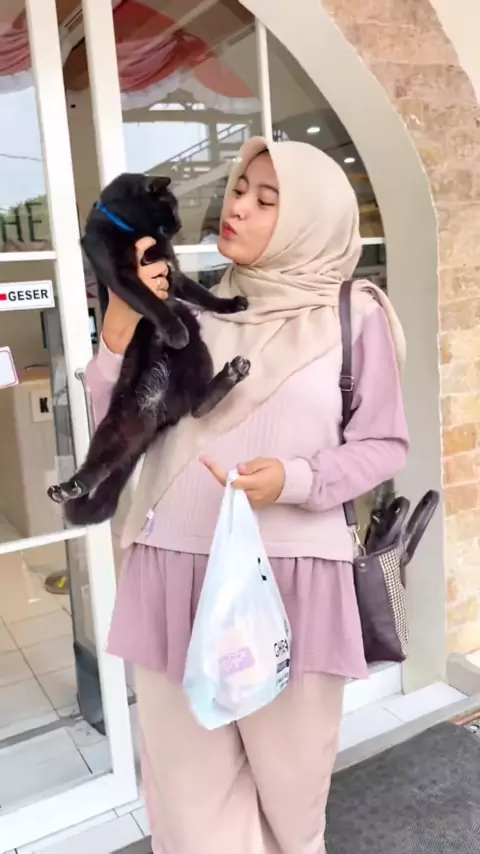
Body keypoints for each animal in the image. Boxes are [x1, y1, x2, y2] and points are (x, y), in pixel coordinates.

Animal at [47, 172, 250, 525]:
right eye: (171, 205)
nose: (179, 223)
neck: (132, 230)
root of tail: (156, 408)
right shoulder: (123, 275)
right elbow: (151, 301)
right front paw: (173, 330)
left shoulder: (172, 270)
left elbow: (202, 294)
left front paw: (231, 304)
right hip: (117, 423)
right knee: (101, 463)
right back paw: (71, 487)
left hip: (198, 357)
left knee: (197, 405)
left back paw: (230, 374)